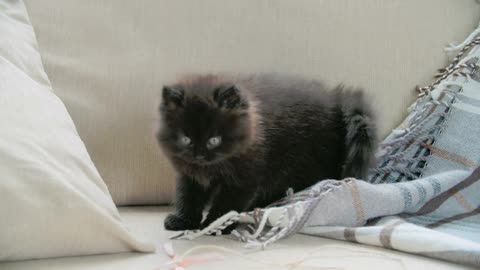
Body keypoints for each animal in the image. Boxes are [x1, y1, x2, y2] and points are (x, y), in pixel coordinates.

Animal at [156, 73, 376, 232]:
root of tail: (336, 100)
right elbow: (187, 197)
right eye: (186, 139)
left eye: (214, 140)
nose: (199, 155)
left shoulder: (244, 178)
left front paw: (215, 224)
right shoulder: (189, 175)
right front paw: (182, 221)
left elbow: (228, 203)